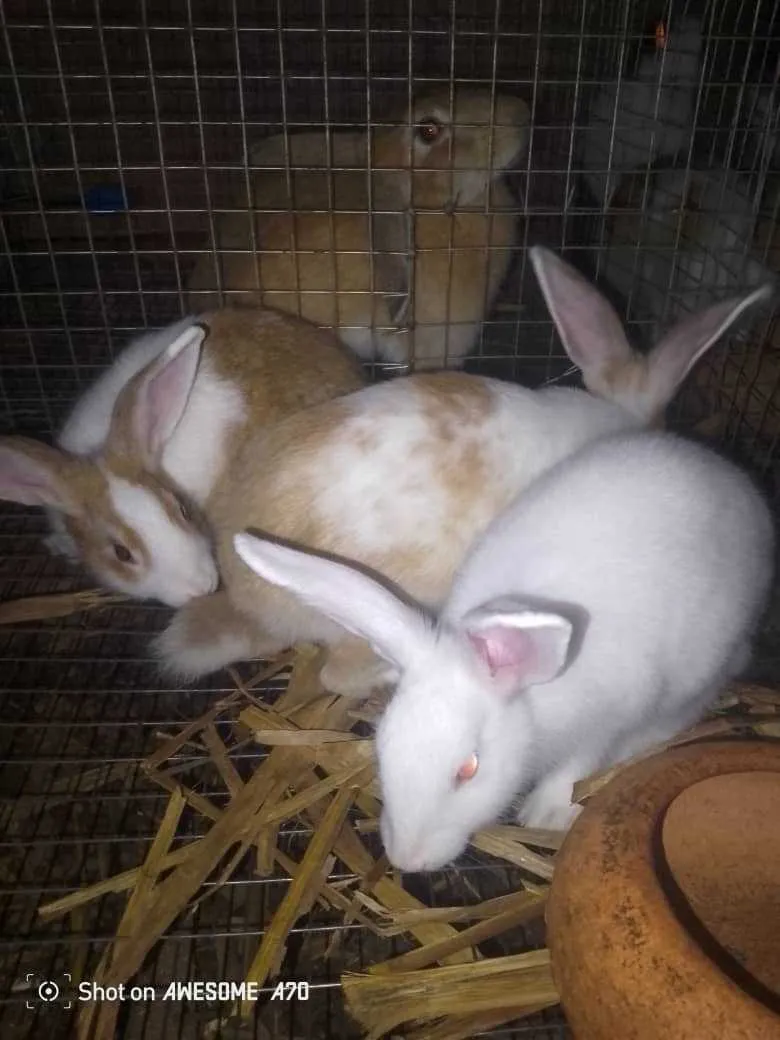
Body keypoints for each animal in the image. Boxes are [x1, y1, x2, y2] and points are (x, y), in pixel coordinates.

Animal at [232, 427, 775, 872]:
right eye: (382, 747)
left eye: (468, 769)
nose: (407, 861)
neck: (531, 706)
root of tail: (738, 483)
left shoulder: (610, 714)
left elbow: (580, 763)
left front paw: (547, 814)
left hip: (705, 661)